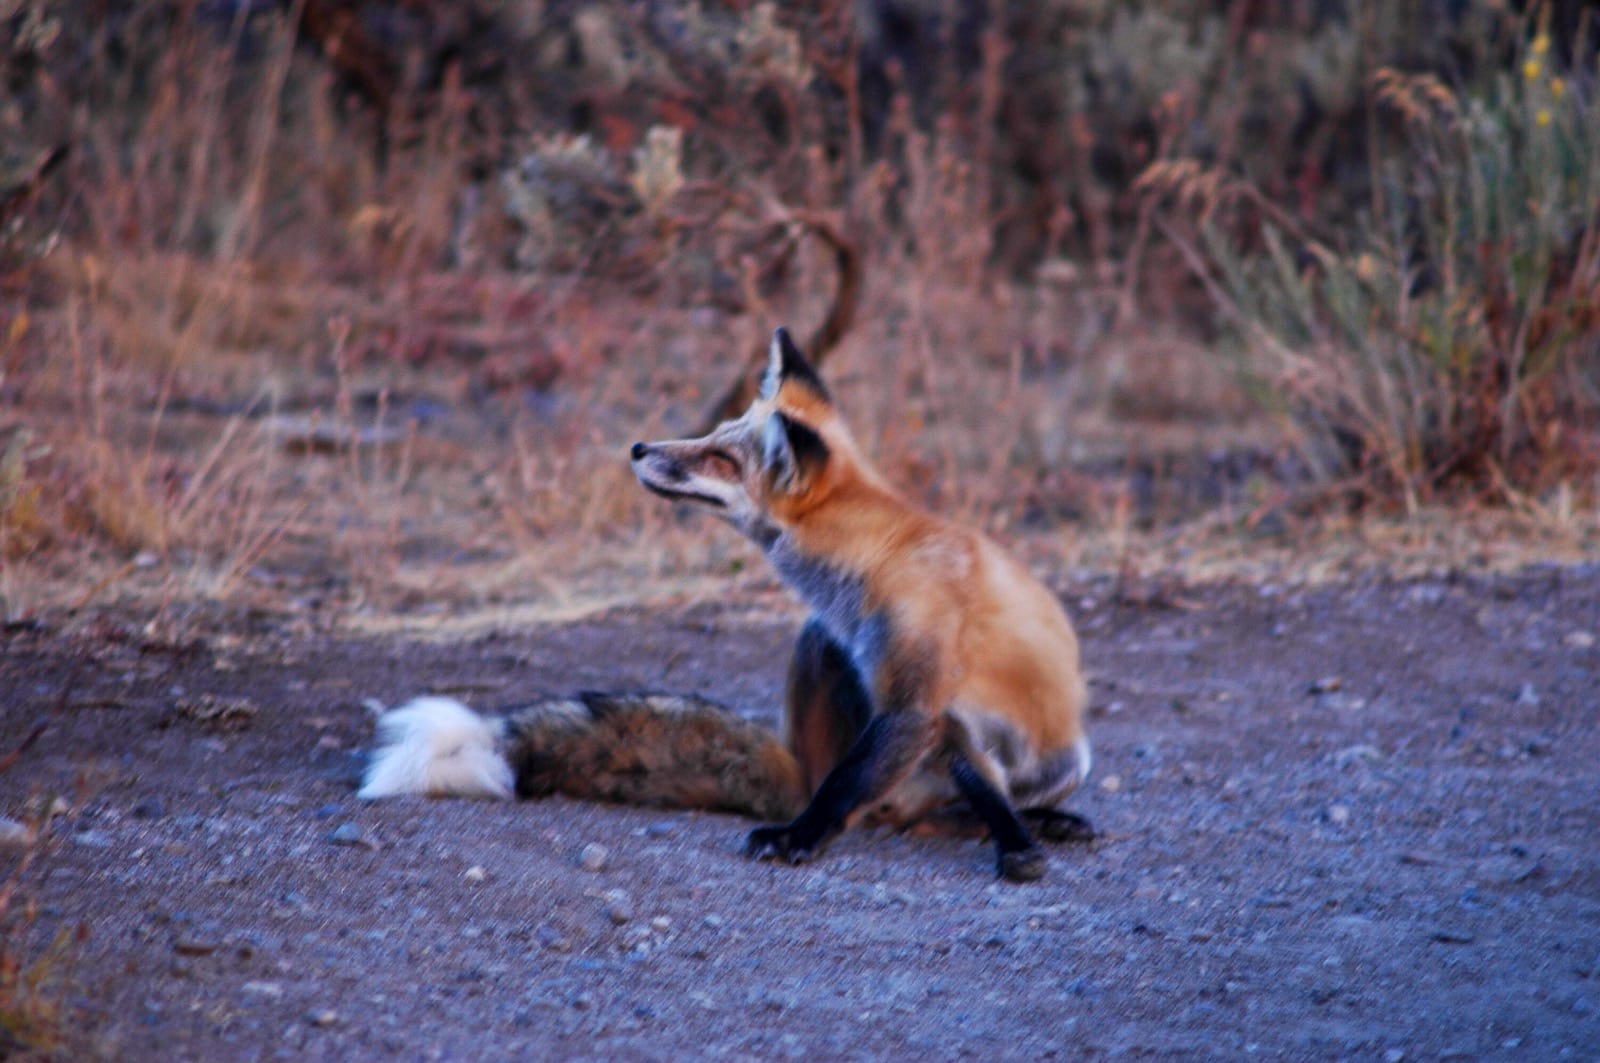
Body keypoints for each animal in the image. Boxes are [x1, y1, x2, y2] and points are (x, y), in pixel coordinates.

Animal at [361, 327, 1092, 881]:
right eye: (714, 432)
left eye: (720, 457)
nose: (638, 447)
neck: (877, 556)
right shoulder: (921, 704)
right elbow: (868, 783)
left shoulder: (918, 699)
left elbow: (850, 784)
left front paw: (801, 837)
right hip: (822, 645)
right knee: (884, 799)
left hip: (1065, 756)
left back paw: (1033, 819)